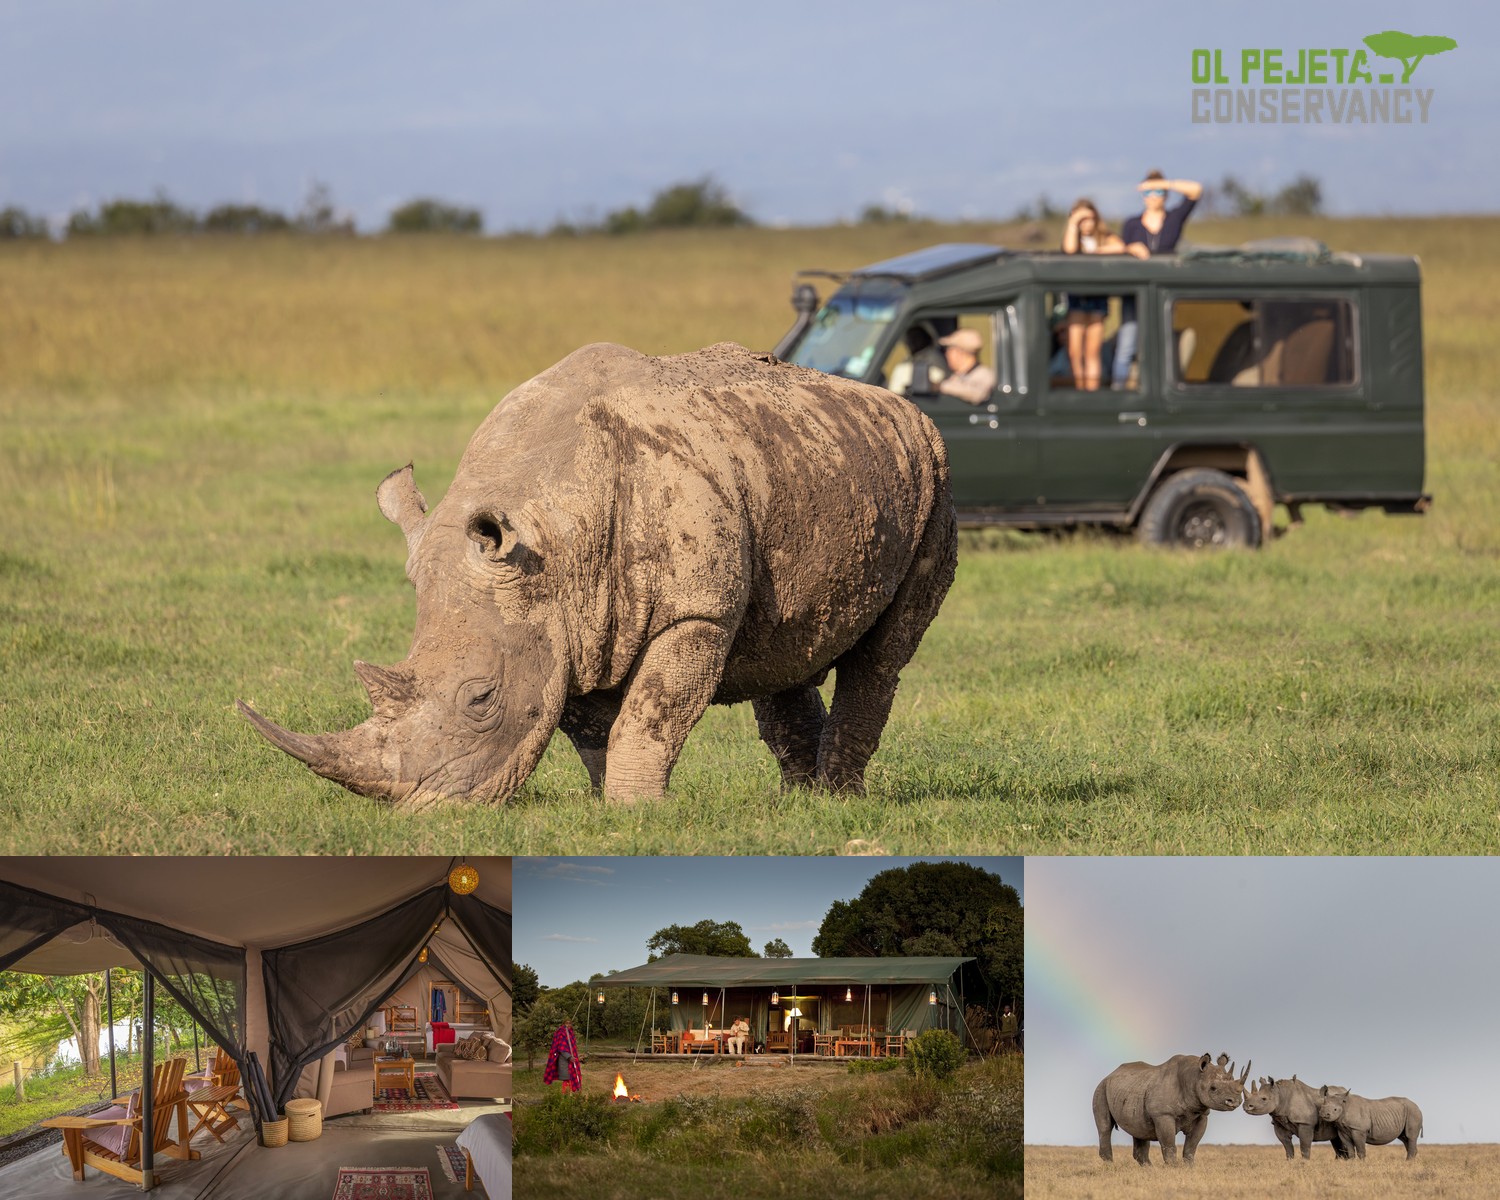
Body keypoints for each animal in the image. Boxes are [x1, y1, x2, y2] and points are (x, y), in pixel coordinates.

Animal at [238, 342, 957, 806]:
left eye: (481, 699)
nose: (417, 808)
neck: (552, 534)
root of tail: (899, 406)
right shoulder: (563, 623)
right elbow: (588, 725)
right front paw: (600, 807)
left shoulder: (692, 611)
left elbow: (652, 711)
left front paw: (635, 810)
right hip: (804, 469)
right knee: (783, 642)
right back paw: (797, 806)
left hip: (935, 478)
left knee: (882, 657)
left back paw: (838, 804)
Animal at [1093, 1052, 1250, 1165]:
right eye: (1213, 1088)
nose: (1235, 1101)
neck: (1194, 1077)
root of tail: (1110, 1074)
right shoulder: (1163, 1114)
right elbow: (1169, 1146)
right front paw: (1173, 1169)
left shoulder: (1202, 1115)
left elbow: (1191, 1148)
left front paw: (1189, 1168)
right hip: (1101, 1089)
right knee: (1105, 1127)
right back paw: (1111, 1167)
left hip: (1133, 1088)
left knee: (1139, 1130)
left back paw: (1149, 1170)